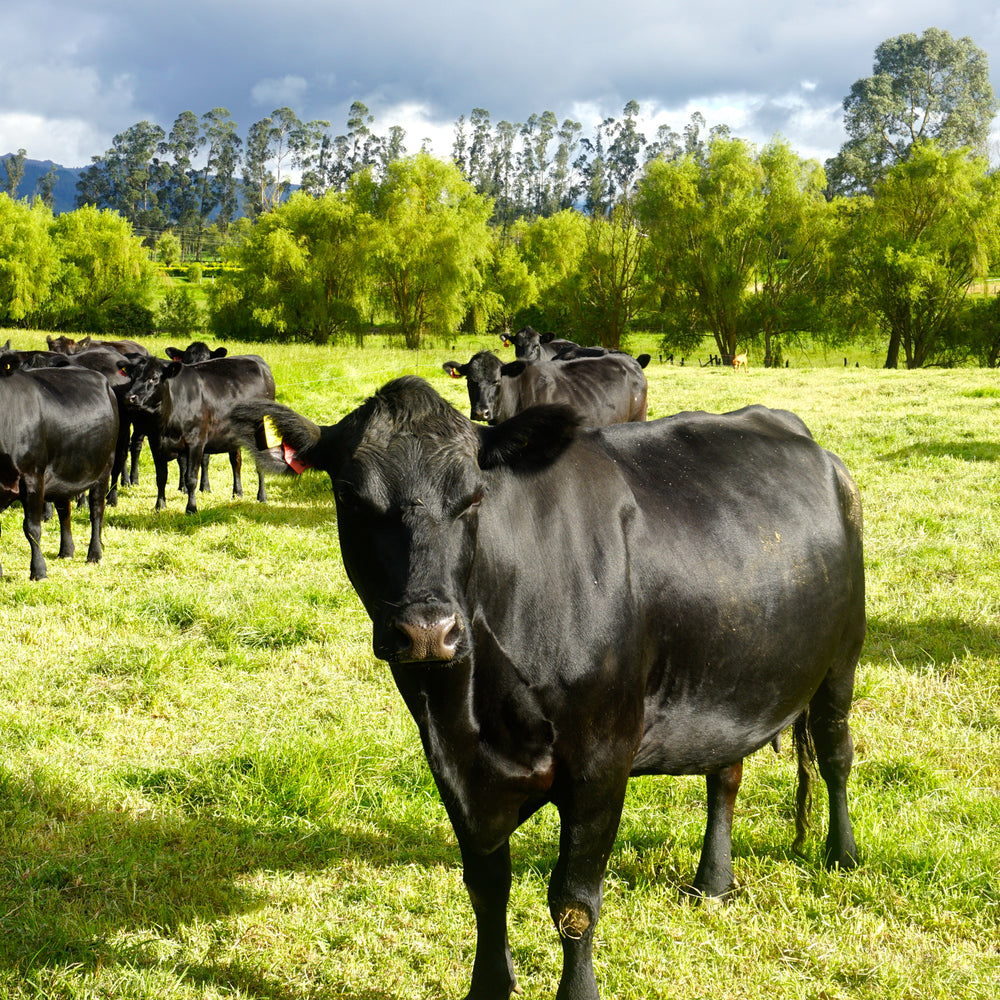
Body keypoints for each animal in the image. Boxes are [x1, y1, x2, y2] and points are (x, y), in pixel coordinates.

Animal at [0, 350, 119, 580]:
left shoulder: (33, 476)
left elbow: (32, 527)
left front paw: (38, 571)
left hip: (104, 467)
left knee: (96, 510)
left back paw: (94, 553)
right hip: (67, 469)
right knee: (65, 510)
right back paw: (66, 551)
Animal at [122, 354, 276, 512]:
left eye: (153, 378)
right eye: (132, 376)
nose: (129, 397)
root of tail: (255, 358)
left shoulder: (196, 442)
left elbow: (191, 478)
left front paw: (191, 508)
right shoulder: (156, 442)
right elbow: (161, 477)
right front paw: (160, 506)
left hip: (261, 431)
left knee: (260, 463)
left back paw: (262, 497)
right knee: (236, 461)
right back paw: (237, 493)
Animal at [234, 376, 868, 1000]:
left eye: (474, 497)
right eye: (350, 498)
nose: (427, 630)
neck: (472, 705)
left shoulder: (603, 759)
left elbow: (574, 903)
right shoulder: (455, 768)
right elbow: (486, 888)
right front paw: (488, 987)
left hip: (843, 654)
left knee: (836, 752)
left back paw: (843, 855)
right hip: (730, 672)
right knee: (725, 773)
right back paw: (713, 881)